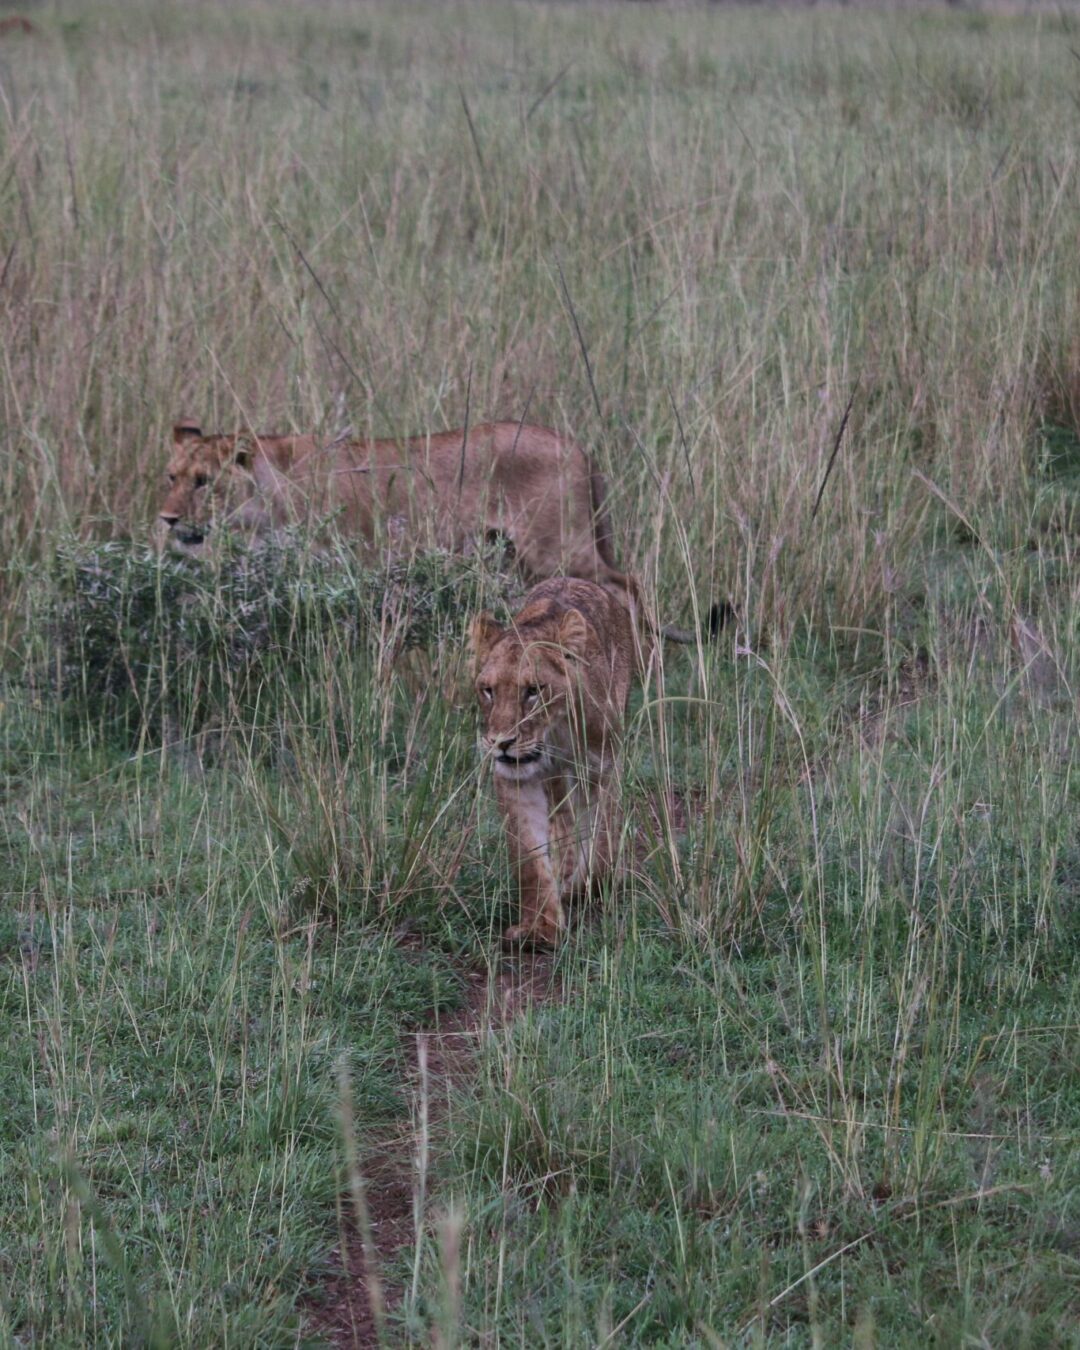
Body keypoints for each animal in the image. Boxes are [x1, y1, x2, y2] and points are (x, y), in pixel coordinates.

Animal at [471, 578, 634, 946]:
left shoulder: (603, 764)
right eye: (488, 691)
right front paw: (539, 929)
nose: (501, 743)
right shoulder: (516, 779)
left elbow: (602, 838)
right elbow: (530, 856)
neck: (555, 735)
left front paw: (584, 886)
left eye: (534, 690)